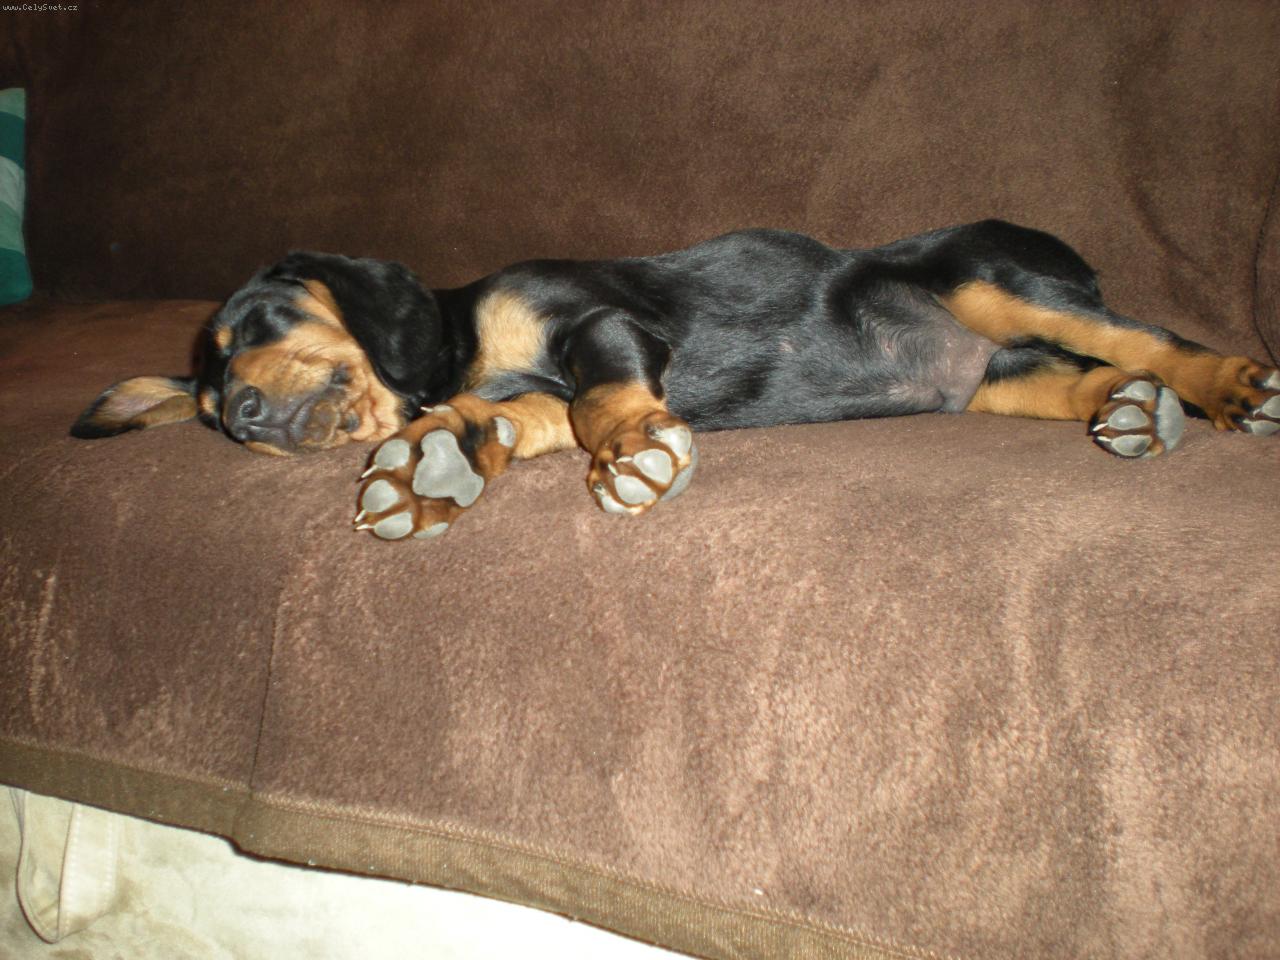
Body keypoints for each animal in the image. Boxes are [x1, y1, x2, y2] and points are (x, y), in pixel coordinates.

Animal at [72, 220, 1280, 541]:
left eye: (256, 323)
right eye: (207, 411)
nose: (240, 414)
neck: (456, 343)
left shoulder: (602, 324)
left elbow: (601, 401)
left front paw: (639, 459)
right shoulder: (526, 392)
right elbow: (514, 418)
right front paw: (430, 468)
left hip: (993, 279)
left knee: (1146, 337)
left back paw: (1232, 387)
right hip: (992, 378)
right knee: (1083, 374)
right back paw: (1127, 415)